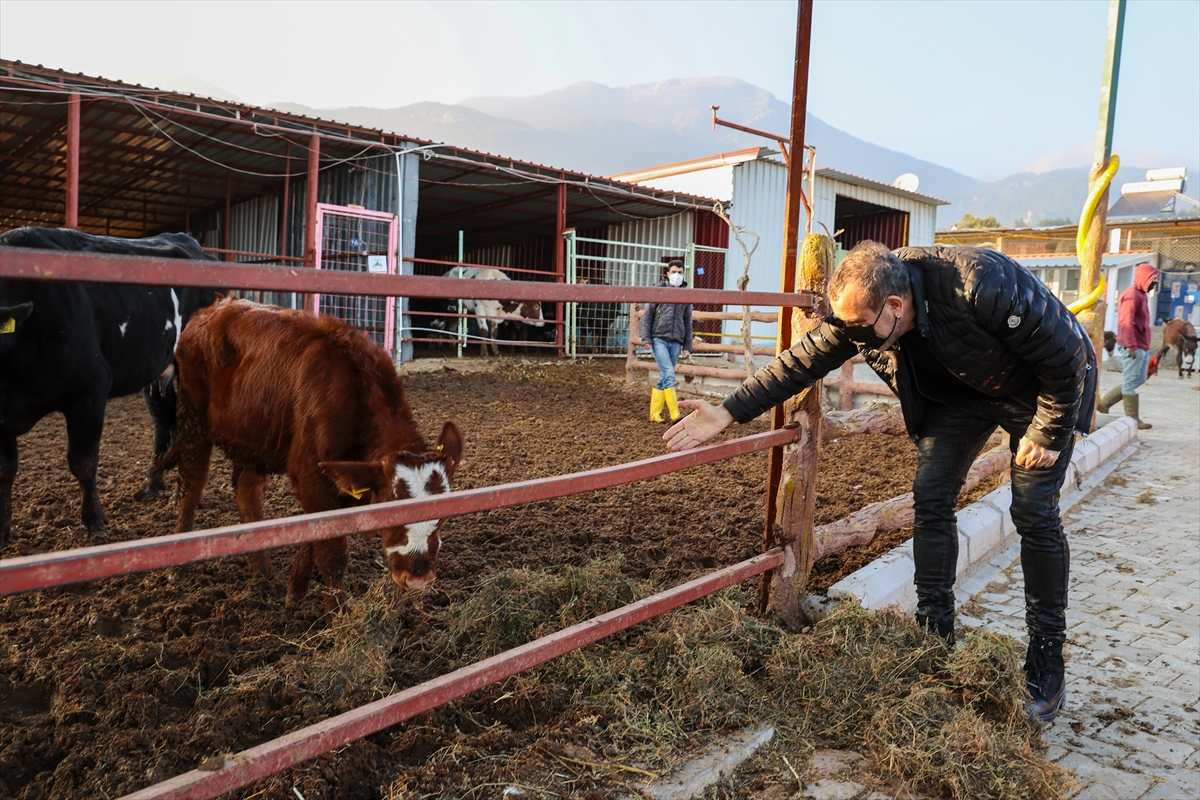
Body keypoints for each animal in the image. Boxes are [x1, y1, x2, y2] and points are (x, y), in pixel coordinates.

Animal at [0, 225, 218, 544]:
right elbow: (5, 469)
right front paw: (3, 529)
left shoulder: (90, 391)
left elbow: (82, 462)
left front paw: (93, 521)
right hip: (156, 369)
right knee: (164, 423)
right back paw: (151, 484)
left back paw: (185, 492)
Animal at [171, 297, 460, 609]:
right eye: (389, 511)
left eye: (442, 517)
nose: (418, 579)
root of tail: (213, 309)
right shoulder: (309, 473)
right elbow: (333, 549)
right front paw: (338, 613)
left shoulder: (342, 477)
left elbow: (316, 532)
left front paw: (295, 587)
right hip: (192, 419)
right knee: (192, 486)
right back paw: (179, 567)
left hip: (254, 438)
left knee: (248, 492)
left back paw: (263, 573)